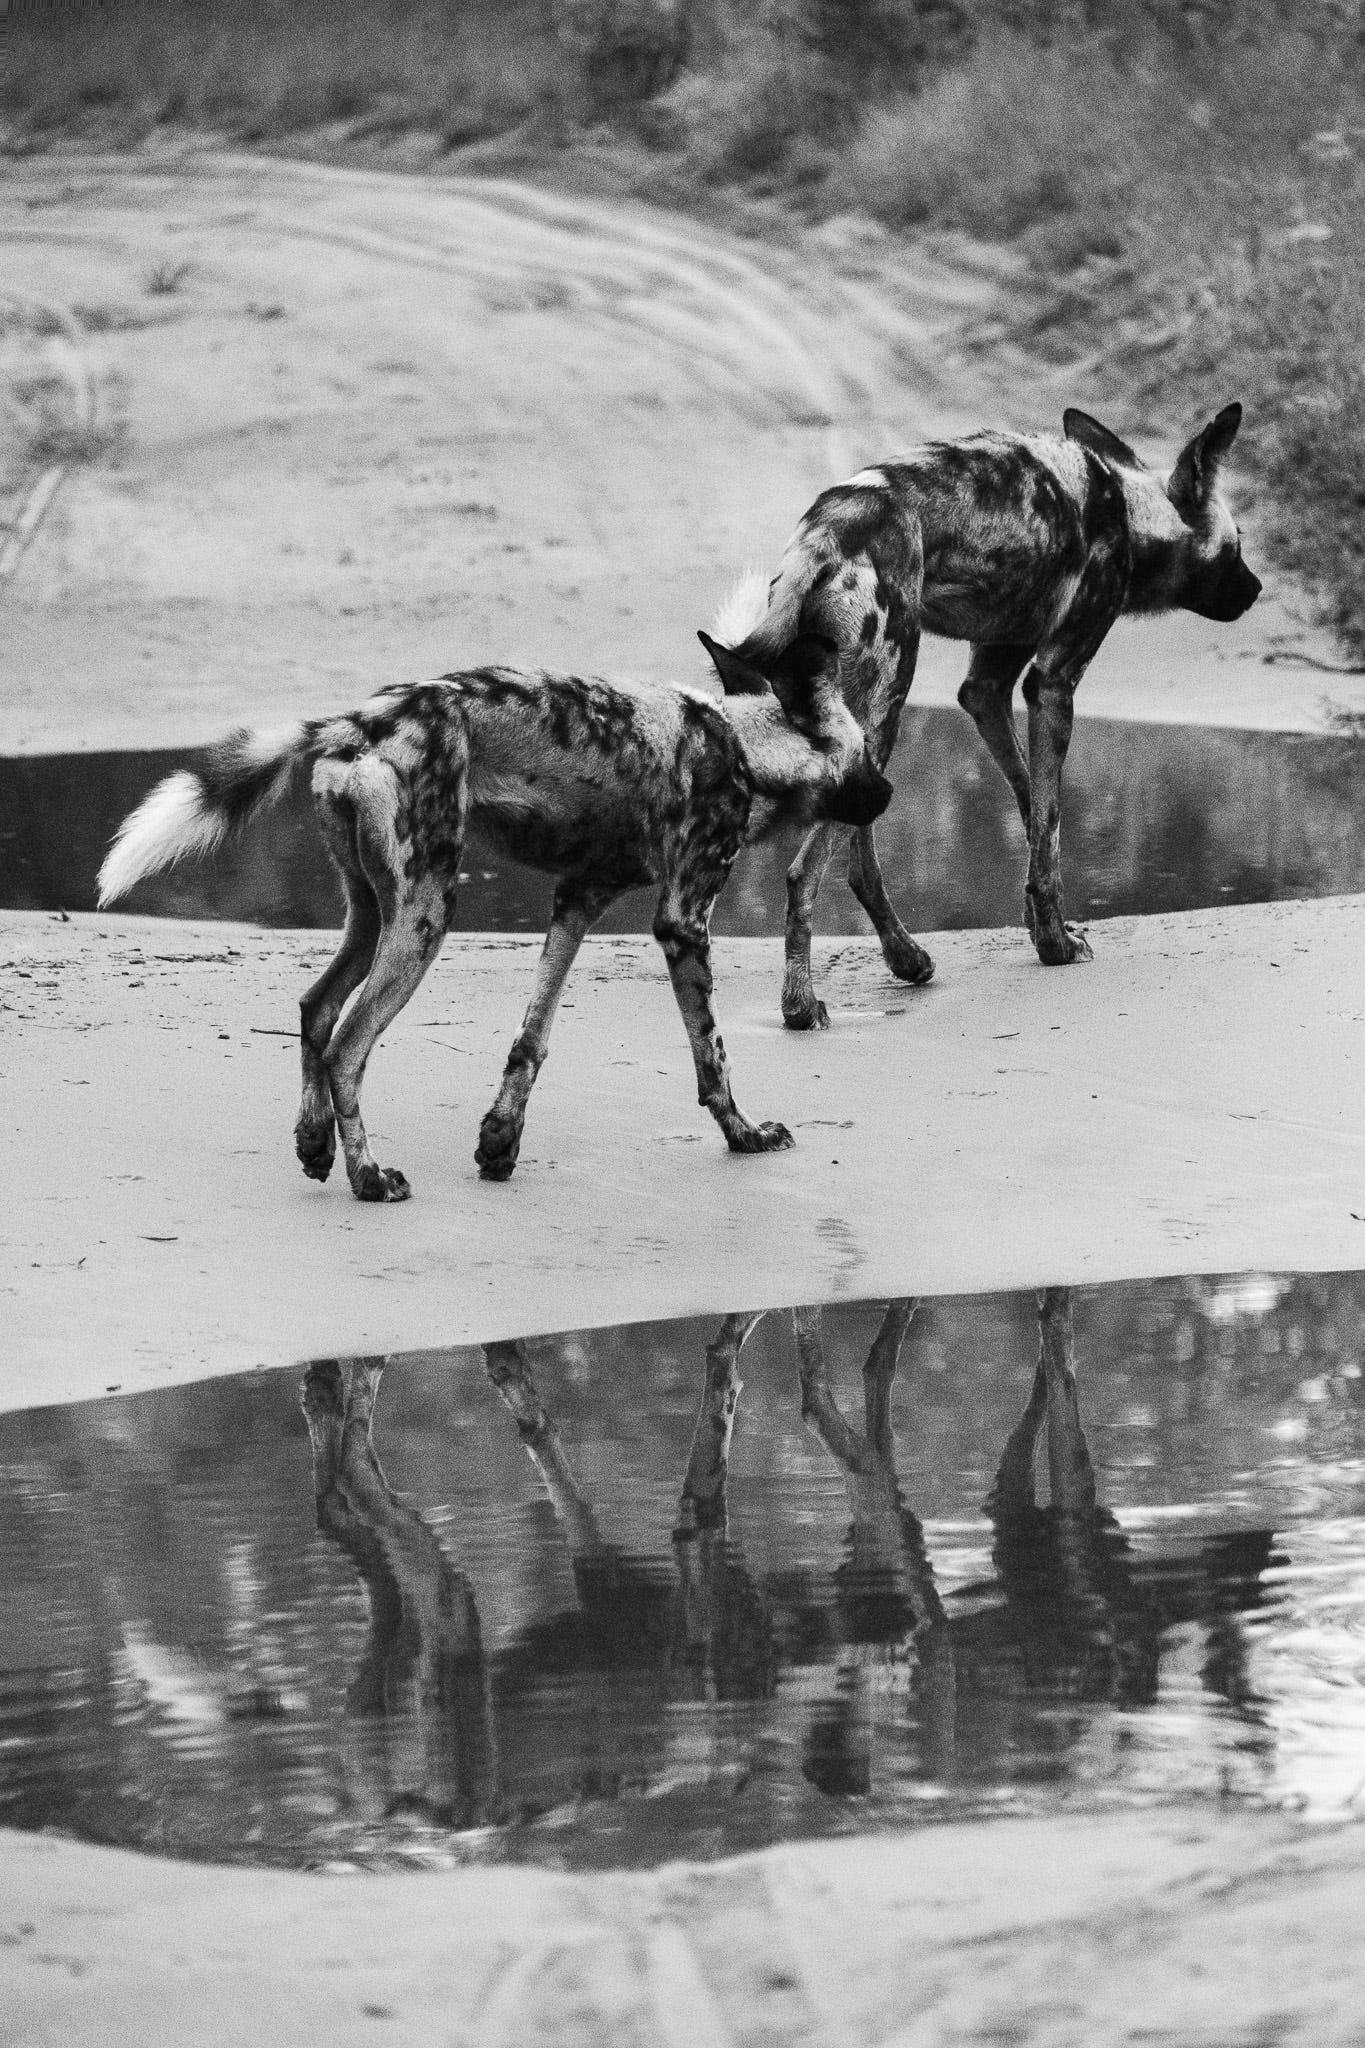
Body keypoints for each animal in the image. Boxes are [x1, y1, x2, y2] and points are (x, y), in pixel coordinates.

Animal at [97, 645, 890, 1199]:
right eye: (866, 752)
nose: (886, 792)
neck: (743, 744)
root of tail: (364, 718)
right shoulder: (682, 923)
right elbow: (713, 1059)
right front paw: (744, 1135)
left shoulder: (578, 900)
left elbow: (530, 1039)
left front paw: (499, 1144)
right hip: (426, 916)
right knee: (348, 1046)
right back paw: (369, 1179)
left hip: (372, 915)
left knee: (316, 1010)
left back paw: (315, 1148)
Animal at [708, 403, 1262, 1028]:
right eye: (1239, 544)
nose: (1256, 589)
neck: (1127, 507)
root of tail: (824, 534)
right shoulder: (1053, 683)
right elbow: (1048, 826)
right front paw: (1056, 946)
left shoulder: (987, 690)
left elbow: (1036, 816)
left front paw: (1043, 925)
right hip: (885, 706)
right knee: (804, 872)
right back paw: (801, 1005)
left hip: (861, 728)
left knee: (859, 866)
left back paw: (907, 959)